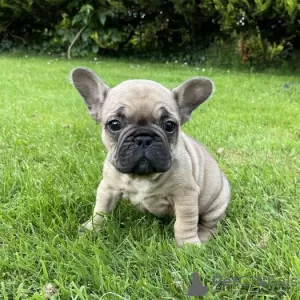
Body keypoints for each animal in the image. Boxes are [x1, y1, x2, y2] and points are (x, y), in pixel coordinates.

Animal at [70, 68, 230, 246]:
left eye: (169, 125)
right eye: (114, 124)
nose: (143, 138)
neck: (141, 177)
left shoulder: (185, 195)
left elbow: (185, 223)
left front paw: (188, 245)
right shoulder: (108, 188)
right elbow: (100, 210)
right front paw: (90, 229)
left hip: (215, 205)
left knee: (211, 226)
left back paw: (203, 236)